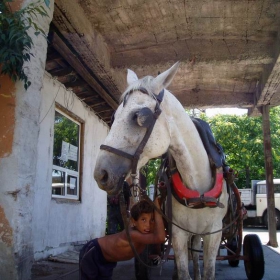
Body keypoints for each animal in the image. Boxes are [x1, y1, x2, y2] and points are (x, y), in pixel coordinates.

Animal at [94, 63, 228, 280]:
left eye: (139, 117)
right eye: (114, 117)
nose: (101, 174)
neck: (197, 185)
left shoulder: (215, 233)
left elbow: (208, 271)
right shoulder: (178, 233)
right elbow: (183, 270)